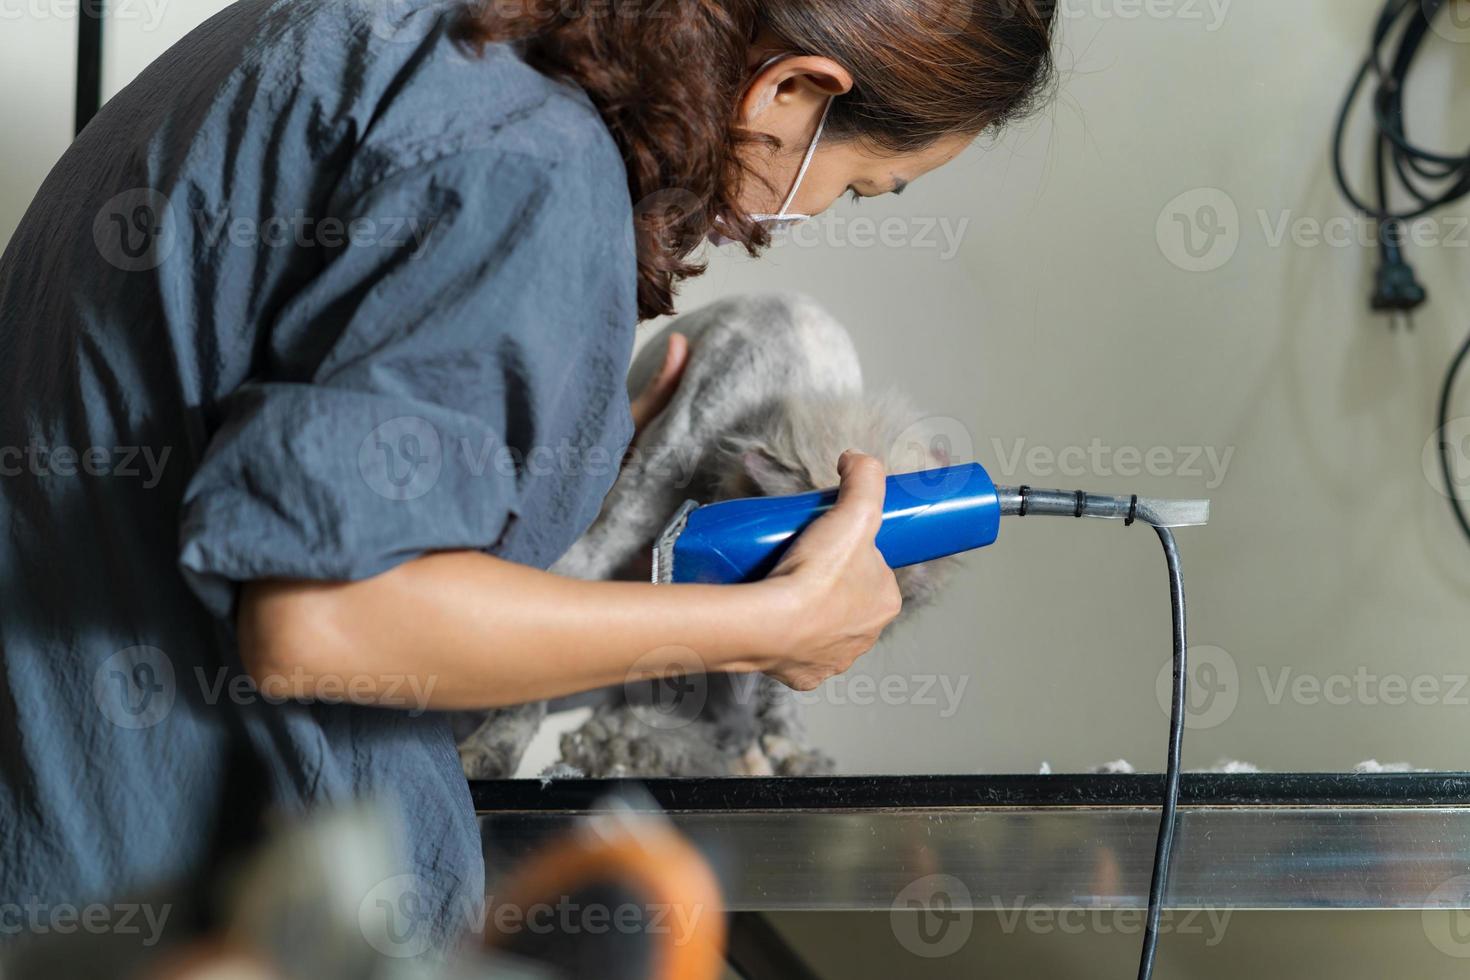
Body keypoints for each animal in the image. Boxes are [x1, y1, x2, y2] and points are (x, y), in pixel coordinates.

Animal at [458, 295, 964, 775]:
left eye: (906, 594)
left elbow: (777, 694)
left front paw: (792, 749)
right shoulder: (604, 543)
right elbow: (526, 695)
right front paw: (491, 752)